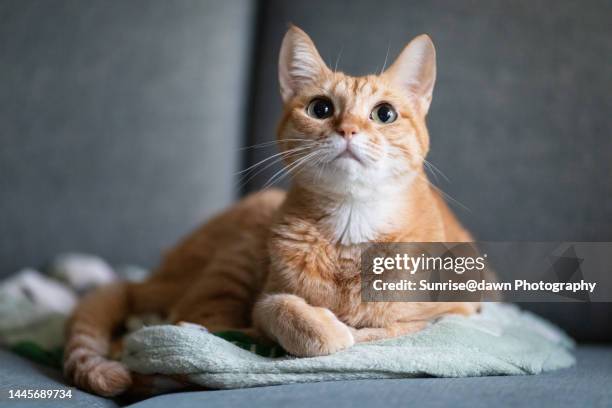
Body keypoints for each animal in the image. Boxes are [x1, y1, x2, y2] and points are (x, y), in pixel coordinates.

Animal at [65, 24, 478, 396]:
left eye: (385, 114)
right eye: (321, 108)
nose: (348, 130)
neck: (351, 222)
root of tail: (153, 277)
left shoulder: (445, 315)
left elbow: (383, 332)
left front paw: (347, 326)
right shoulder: (267, 299)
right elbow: (282, 311)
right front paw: (325, 327)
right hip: (237, 255)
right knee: (194, 328)